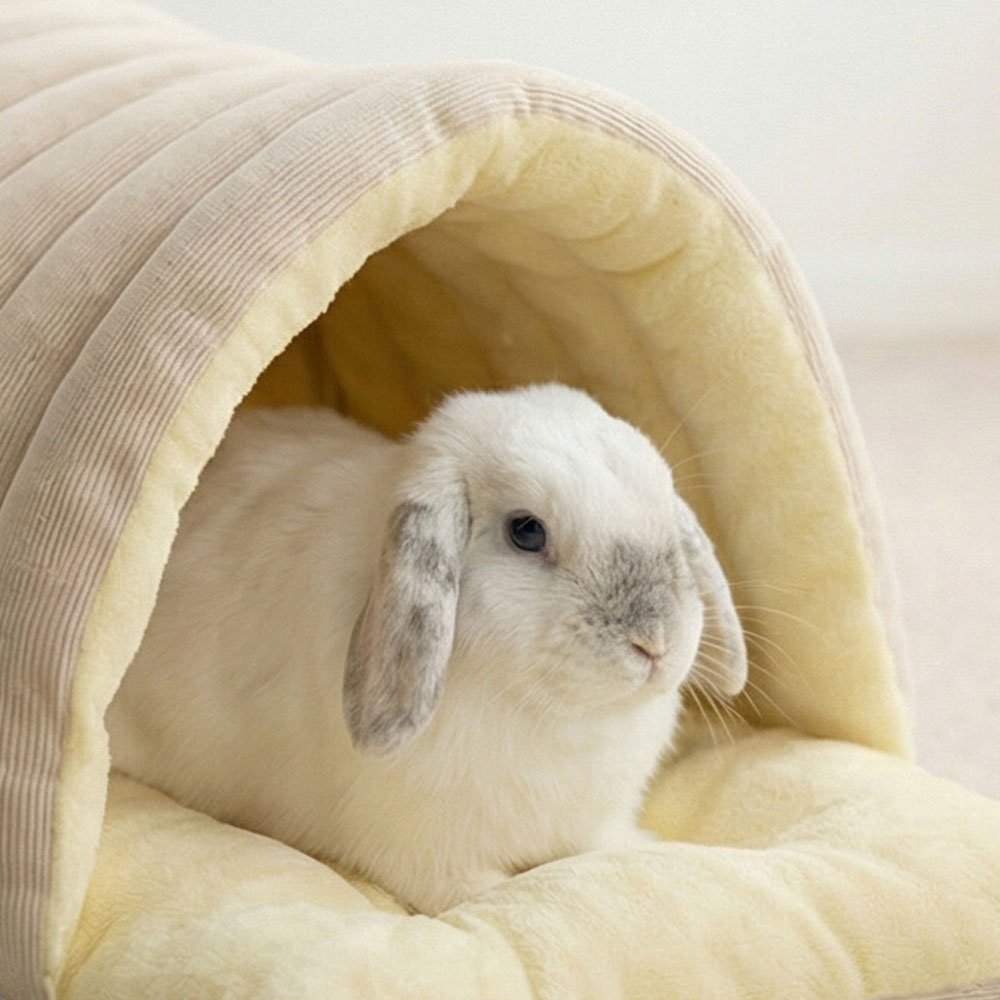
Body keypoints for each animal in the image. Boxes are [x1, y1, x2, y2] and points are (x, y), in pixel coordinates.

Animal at [106, 382, 746, 915]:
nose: (655, 641)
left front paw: (645, 846)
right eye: (526, 531)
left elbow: (602, 847)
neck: (560, 719)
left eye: (666, 508)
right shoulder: (426, 849)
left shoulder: (593, 821)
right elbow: (473, 890)